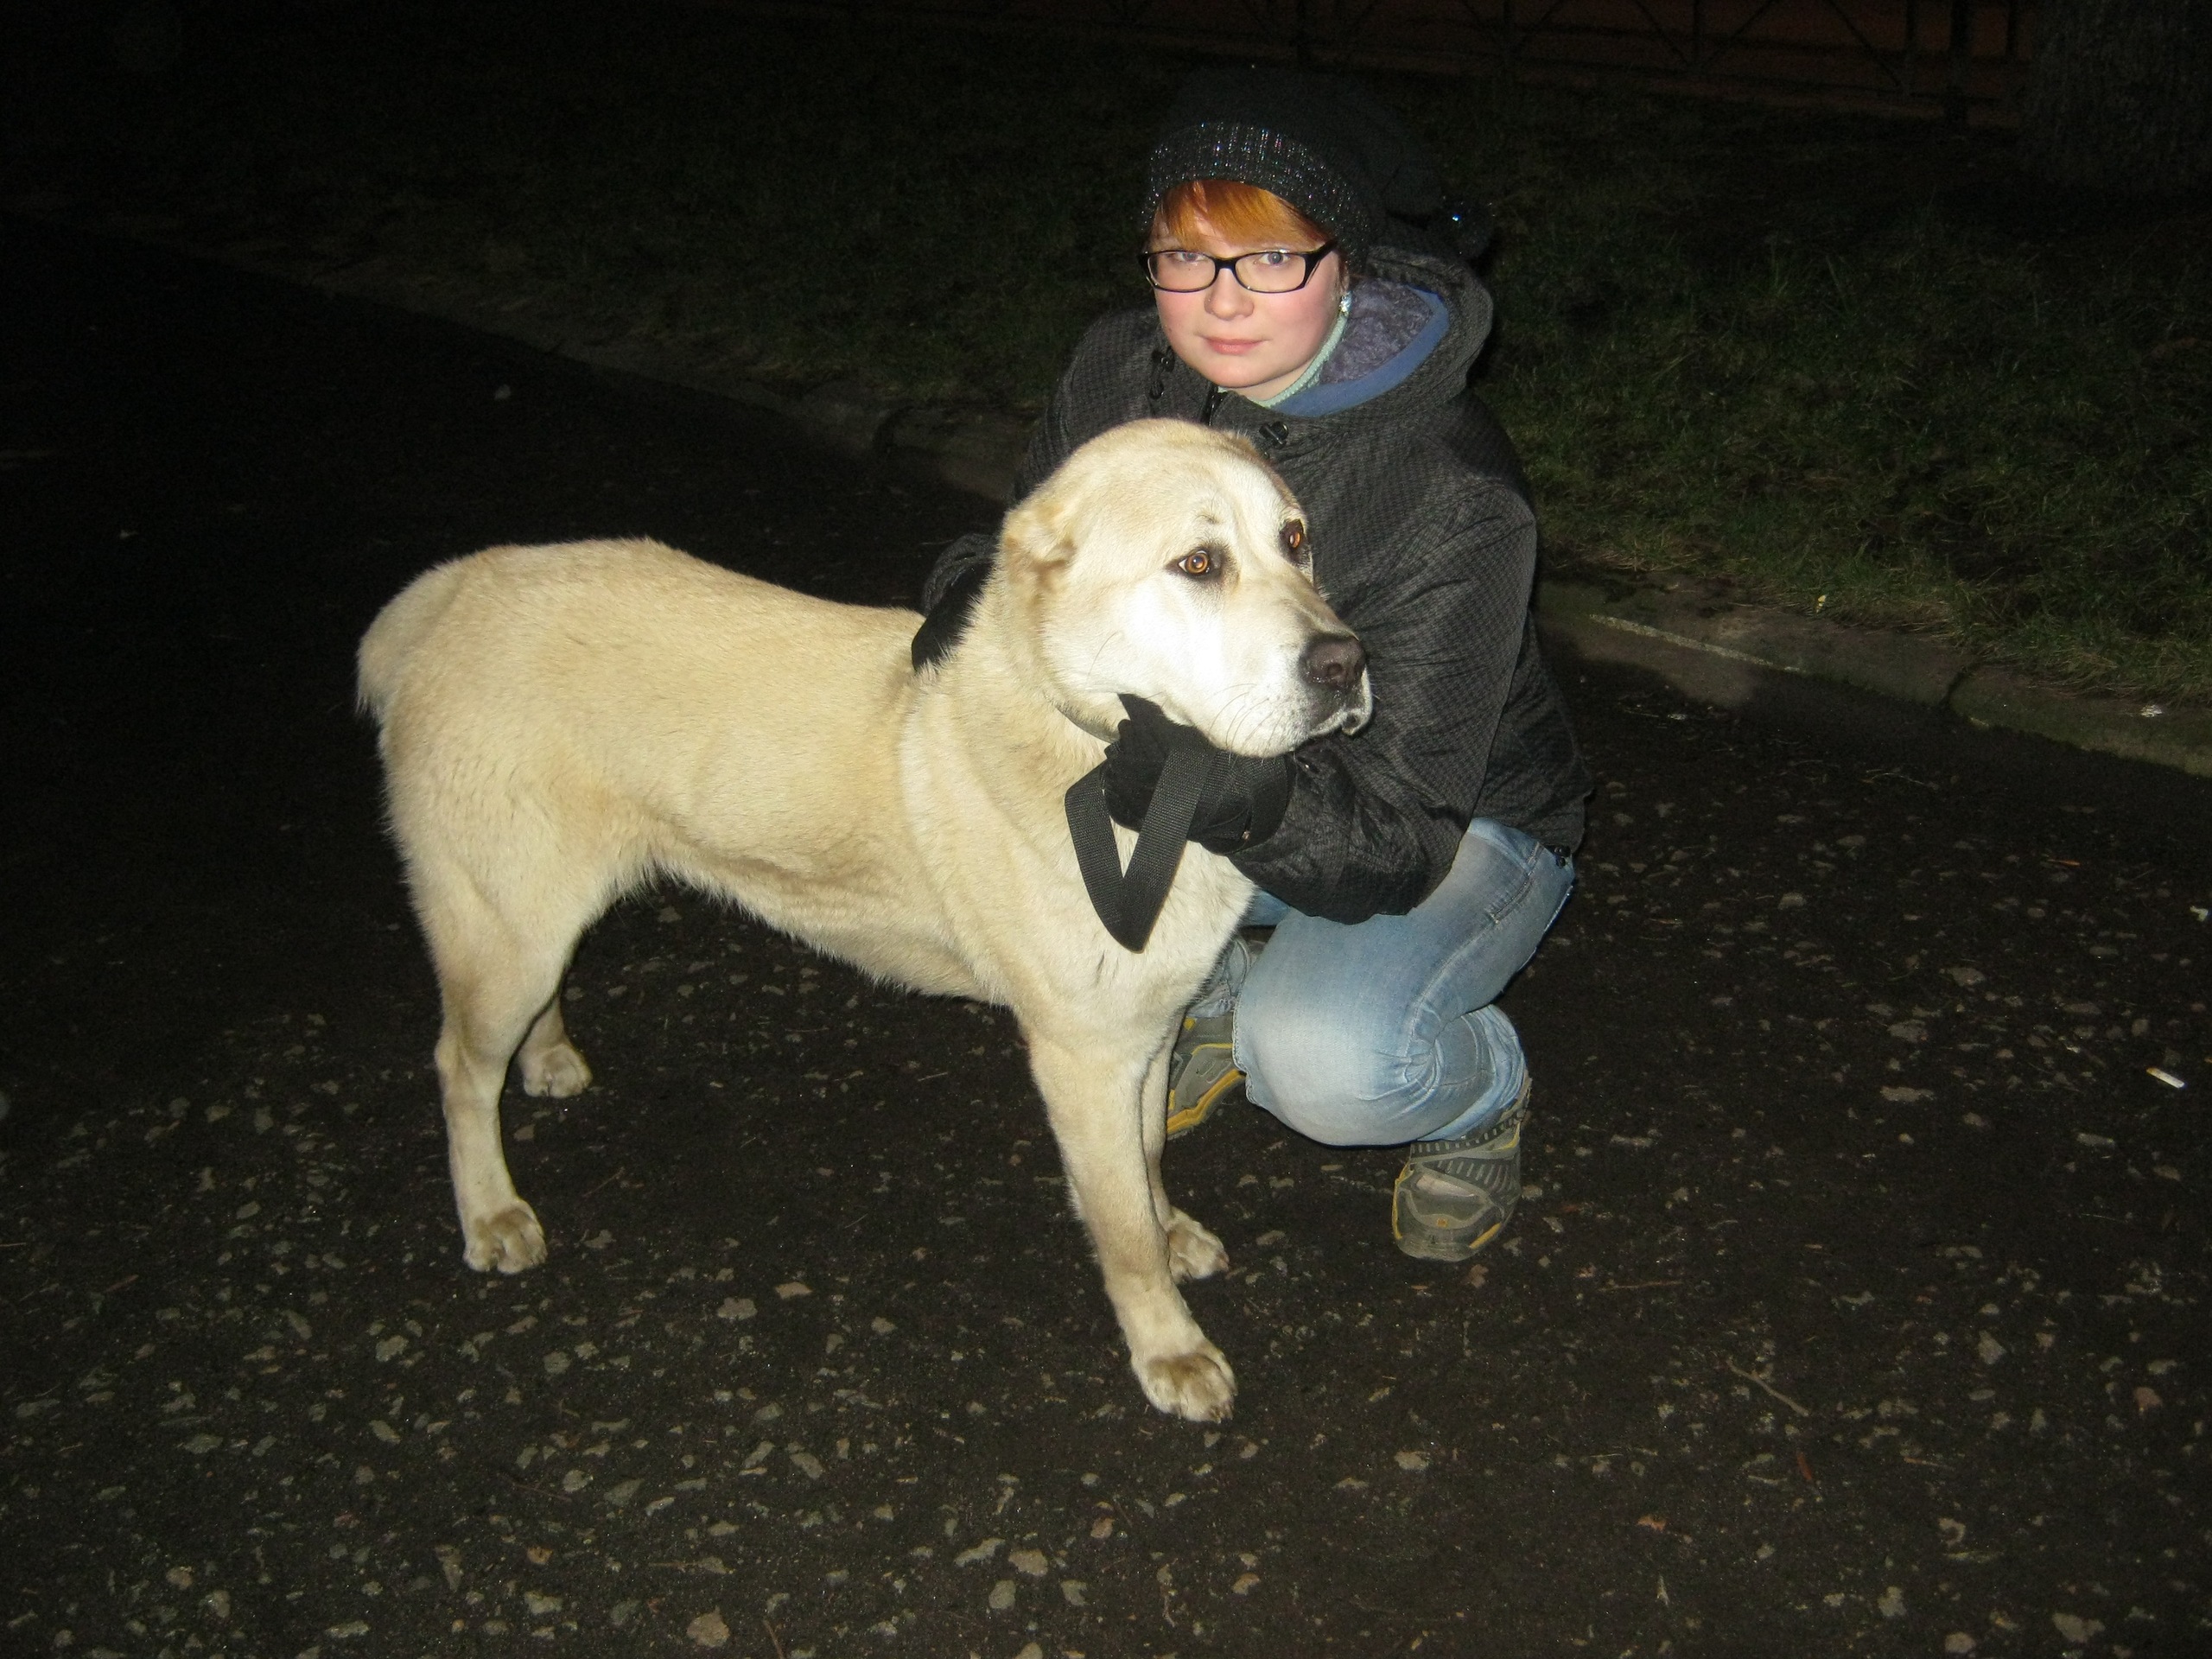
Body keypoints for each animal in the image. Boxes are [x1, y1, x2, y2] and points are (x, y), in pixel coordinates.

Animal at [358, 419, 1370, 1421]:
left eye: (1295, 540)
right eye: (1198, 563)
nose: (1346, 664)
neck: (1130, 762)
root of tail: (456, 589)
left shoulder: (1147, 1030)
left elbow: (1149, 1156)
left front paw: (1170, 1231)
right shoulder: (1083, 1058)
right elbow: (1121, 1230)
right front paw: (1168, 1348)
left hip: (536, 922)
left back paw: (548, 1058)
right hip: (506, 937)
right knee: (457, 1069)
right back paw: (490, 1210)